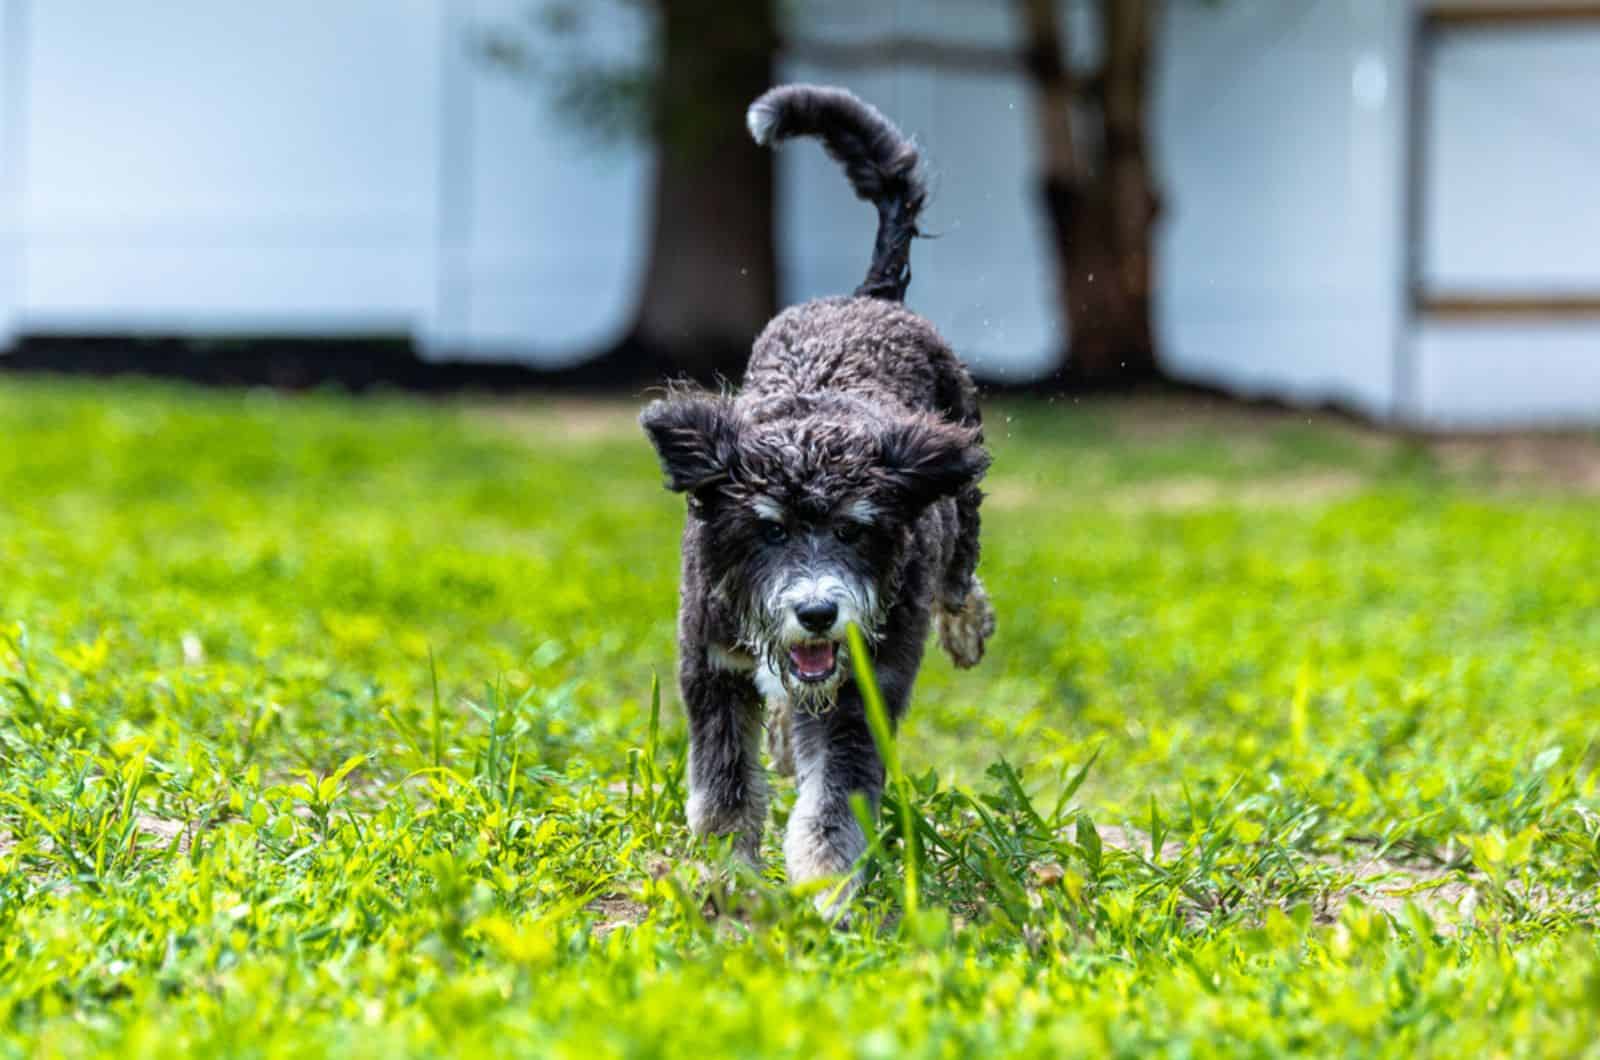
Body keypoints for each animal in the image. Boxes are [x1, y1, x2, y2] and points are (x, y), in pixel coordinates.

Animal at [640, 85, 992, 915]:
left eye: (857, 531)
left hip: (956, 468)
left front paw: (827, 891)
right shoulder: (711, 670)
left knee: (962, 564)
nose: (818, 612)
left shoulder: (861, 689)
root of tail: (868, 296)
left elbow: (834, 797)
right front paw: (727, 878)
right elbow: (725, 788)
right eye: (767, 531)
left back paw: (965, 622)